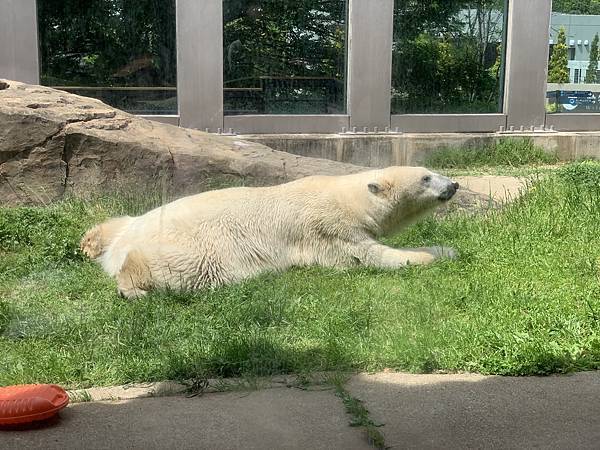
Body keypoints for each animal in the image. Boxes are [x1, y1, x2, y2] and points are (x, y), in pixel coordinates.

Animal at [82, 167, 460, 298]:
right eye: (426, 177)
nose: (454, 184)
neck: (347, 198)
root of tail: (123, 244)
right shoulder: (329, 228)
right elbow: (371, 256)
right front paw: (445, 251)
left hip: (137, 221)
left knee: (120, 221)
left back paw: (90, 242)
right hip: (194, 246)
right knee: (183, 267)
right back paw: (133, 288)